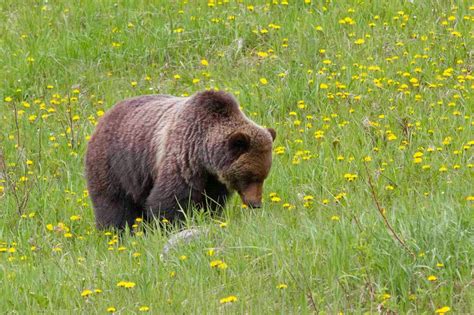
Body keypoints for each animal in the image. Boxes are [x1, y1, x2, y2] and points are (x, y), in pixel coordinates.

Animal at [85, 90, 276, 230]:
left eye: (264, 176)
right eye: (250, 176)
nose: (255, 204)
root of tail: (102, 118)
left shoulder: (212, 178)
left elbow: (211, 201)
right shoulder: (183, 157)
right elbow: (171, 198)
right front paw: (169, 225)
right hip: (115, 165)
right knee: (114, 203)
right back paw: (116, 231)